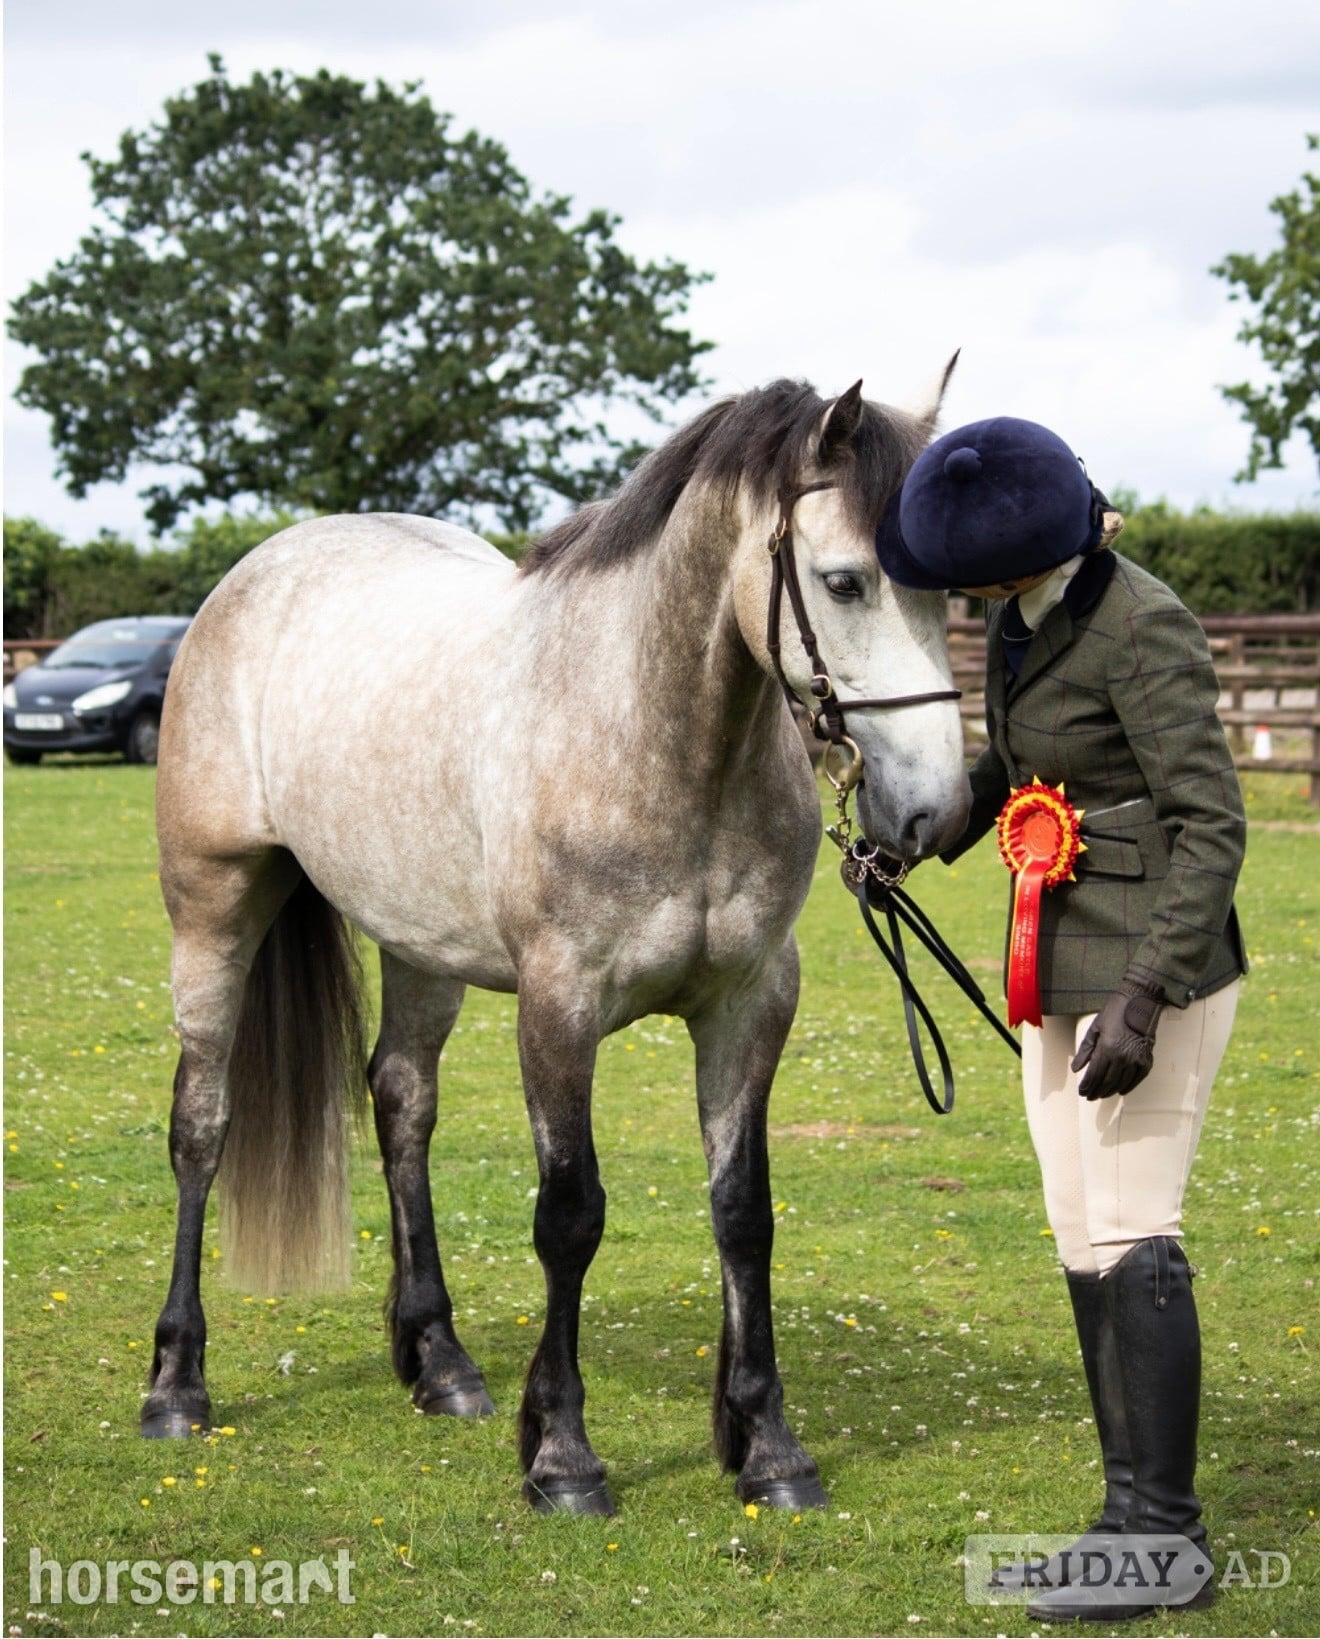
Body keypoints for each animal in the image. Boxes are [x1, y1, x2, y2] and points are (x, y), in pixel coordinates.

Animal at [143, 370, 971, 1517]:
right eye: (844, 582)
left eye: (951, 594)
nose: (940, 811)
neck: (651, 734)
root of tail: (255, 574)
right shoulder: (559, 1007)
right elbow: (570, 1216)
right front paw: (563, 1456)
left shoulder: (751, 1005)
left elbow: (743, 1212)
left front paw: (765, 1443)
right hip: (214, 907)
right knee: (202, 1123)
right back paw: (177, 1383)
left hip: (421, 946)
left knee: (402, 1103)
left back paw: (439, 1362)